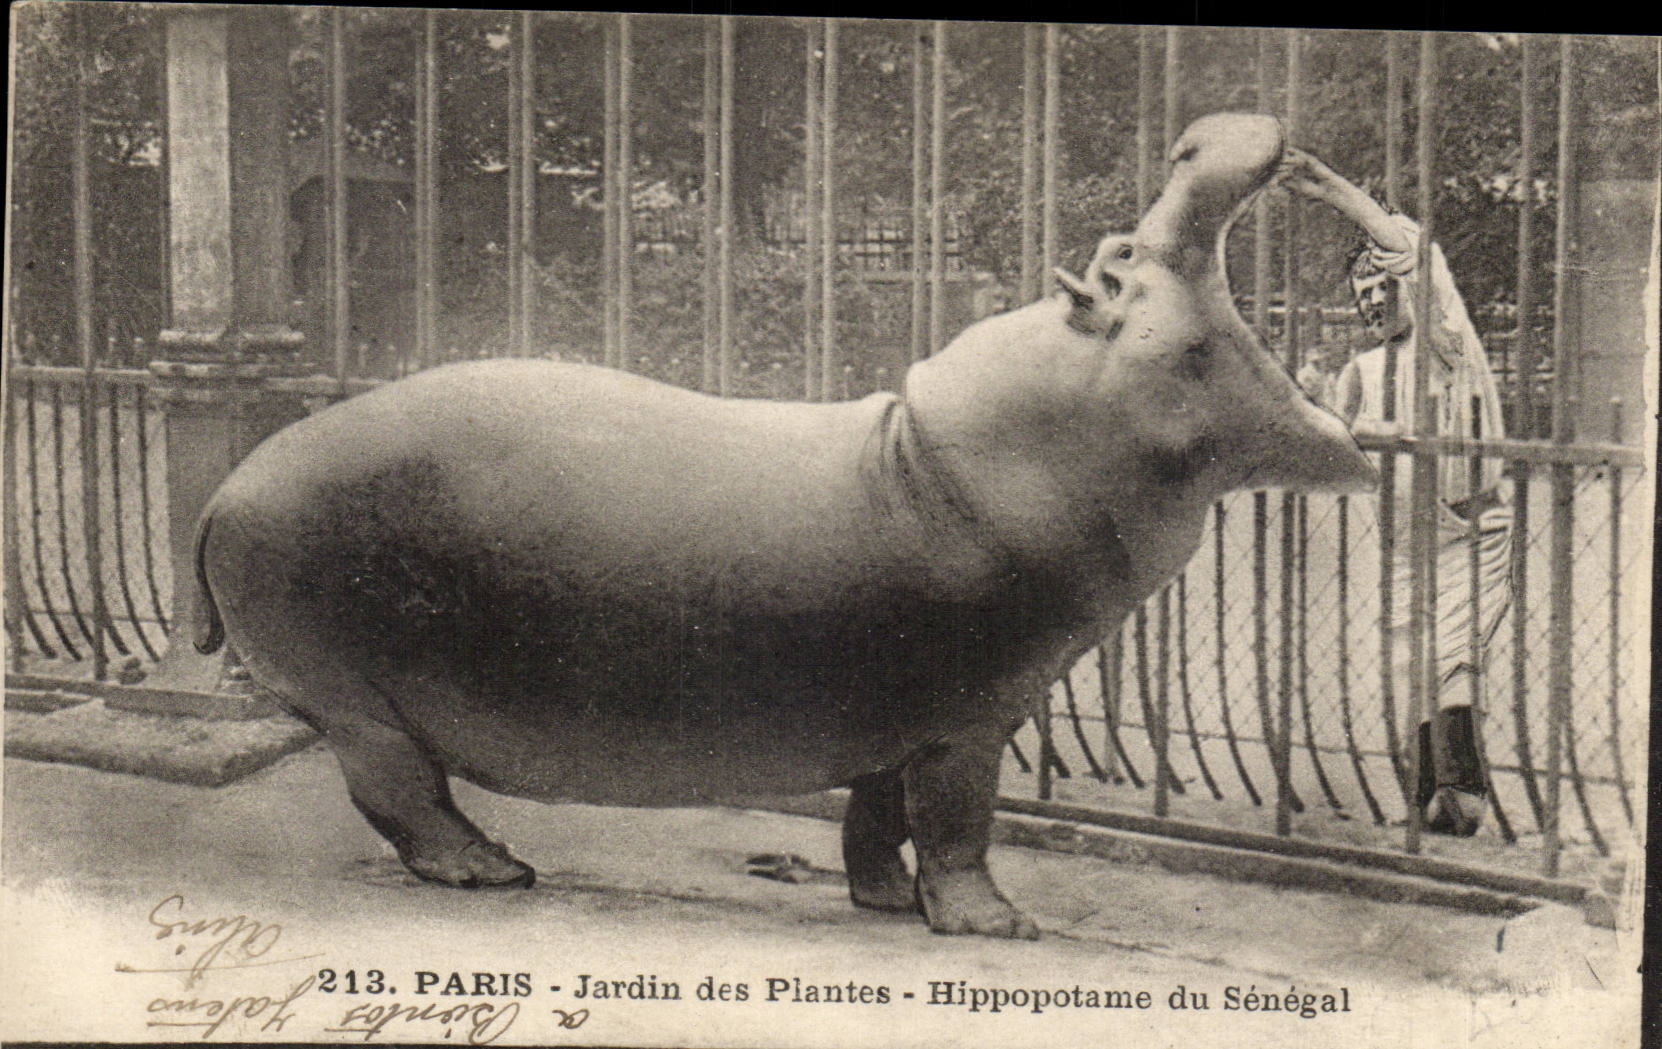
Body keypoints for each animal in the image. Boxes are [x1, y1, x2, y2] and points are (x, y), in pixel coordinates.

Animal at [194, 114, 1375, 939]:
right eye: (1128, 265)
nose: (1195, 136)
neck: (932, 460)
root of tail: (226, 485)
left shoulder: (902, 713)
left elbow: (876, 816)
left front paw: (887, 902)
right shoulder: (972, 714)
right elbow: (958, 820)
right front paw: (997, 924)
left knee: (398, 791)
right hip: (358, 698)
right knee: (399, 791)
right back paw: (498, 868)